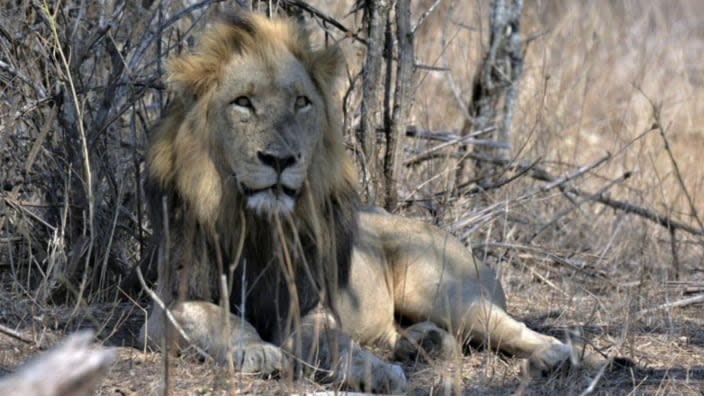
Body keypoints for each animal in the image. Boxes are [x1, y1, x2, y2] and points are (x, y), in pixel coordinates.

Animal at [142, 10, 600, 392]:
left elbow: (333, 341)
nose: (281, 160)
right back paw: (424, 343)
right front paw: (254, 349)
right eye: (243, 102)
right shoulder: (161, 312)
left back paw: (550, 357)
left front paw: (376, 373)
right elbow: (217, 318)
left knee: (514, 327)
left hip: (440, 289)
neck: (256, 225)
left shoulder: (313, 303)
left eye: (301, 102)